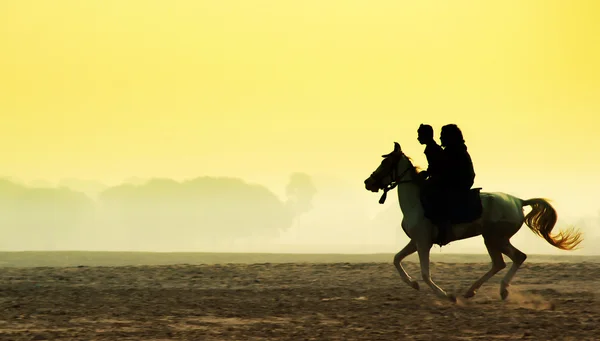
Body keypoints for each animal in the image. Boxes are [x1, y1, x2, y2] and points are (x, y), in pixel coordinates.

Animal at [364, 142, 584, 302]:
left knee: (514, 258)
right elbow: (396, 259)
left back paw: (498, 290)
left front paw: (446, 295)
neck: (417, 202)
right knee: (503, 262)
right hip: (493, 239)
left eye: (385, 164)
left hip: (495, 238)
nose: (368, 182)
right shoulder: (415, 241)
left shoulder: (423, 243)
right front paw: (413, 284)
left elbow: (425, 273)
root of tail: (519, 201)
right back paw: (473, 291)